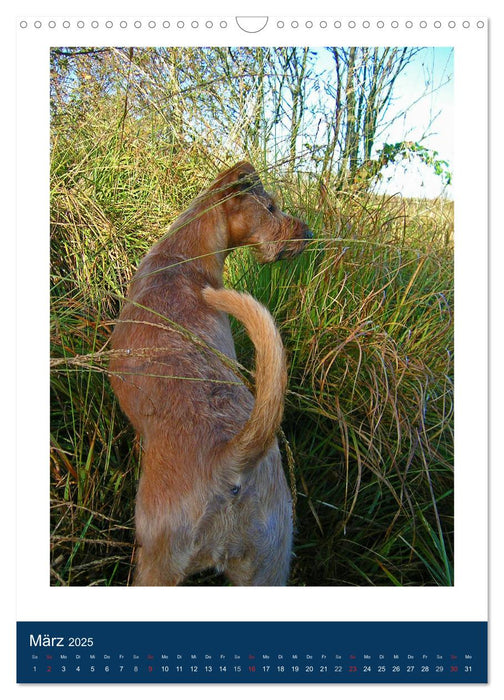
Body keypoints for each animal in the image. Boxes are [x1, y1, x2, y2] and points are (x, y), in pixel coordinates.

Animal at [109, 161, 312, 584]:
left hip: (155, 566)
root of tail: (230, 461)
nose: (308, 233)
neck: (182, 257)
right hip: (267, 569)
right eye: (270, 207)